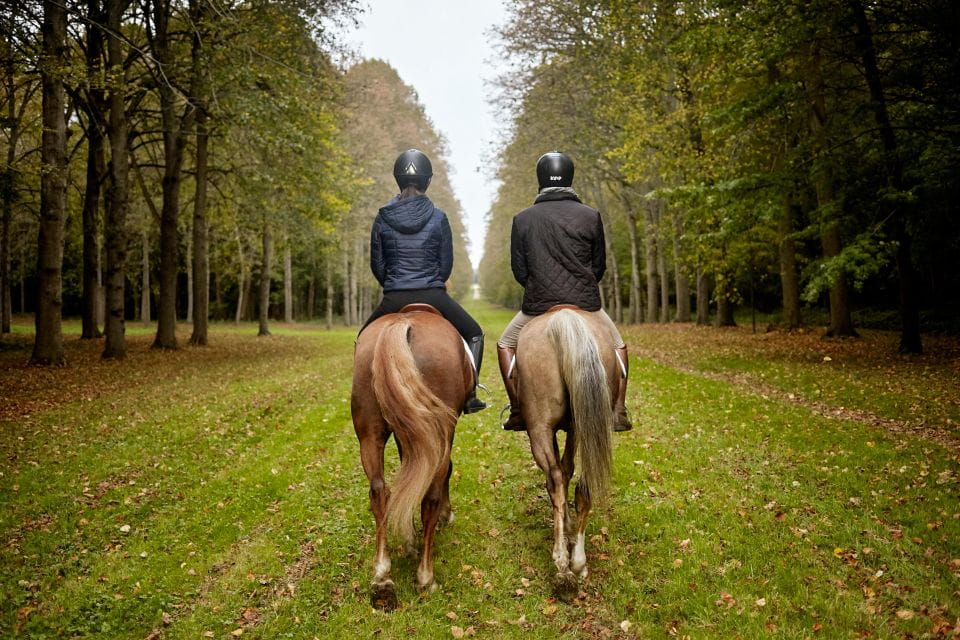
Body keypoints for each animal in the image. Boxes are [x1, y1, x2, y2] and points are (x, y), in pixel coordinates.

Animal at [351, 304, 472, 611]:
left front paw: (408, 540)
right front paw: (444, 517)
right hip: (438, 434)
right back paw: (426, 577)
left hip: (369, 434)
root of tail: (404, 323)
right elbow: (443, 474)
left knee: (379, 491)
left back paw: (382, 577)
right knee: (430, 497)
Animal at [514, 306, 618, 601]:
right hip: (584, 424)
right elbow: (569, 470)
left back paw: (562, 563)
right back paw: (578, 561)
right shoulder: (572, 428)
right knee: (582, 484)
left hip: (539, 428)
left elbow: (560, 475)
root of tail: (564, 315)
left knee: (556, 479)